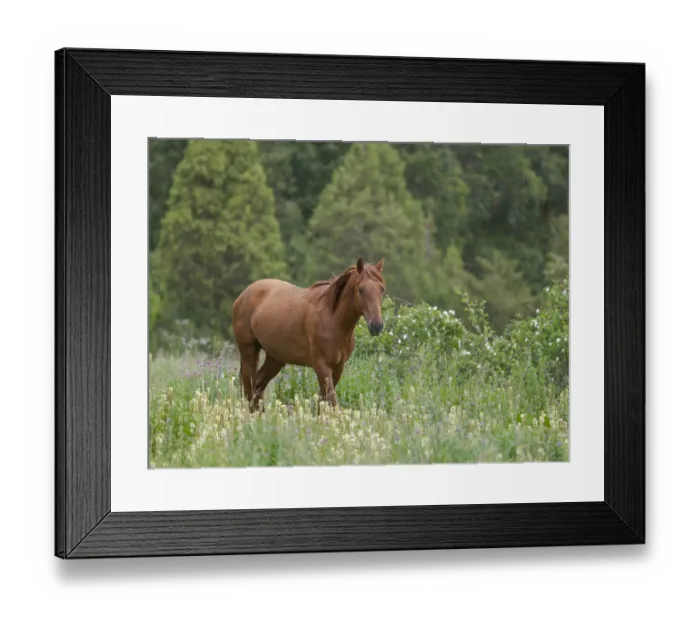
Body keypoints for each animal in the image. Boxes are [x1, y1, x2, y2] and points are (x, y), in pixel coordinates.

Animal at [231, 257, 386, 413]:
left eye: (381, 289)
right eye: (361, 289)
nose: (377, 325)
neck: (332, 320)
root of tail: (243, 295)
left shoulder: (338, 367)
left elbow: (323, 401)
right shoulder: (321, 365)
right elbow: (331, 400)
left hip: (275, 358)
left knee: (258, 384)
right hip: (249, 353)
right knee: (249, 388)